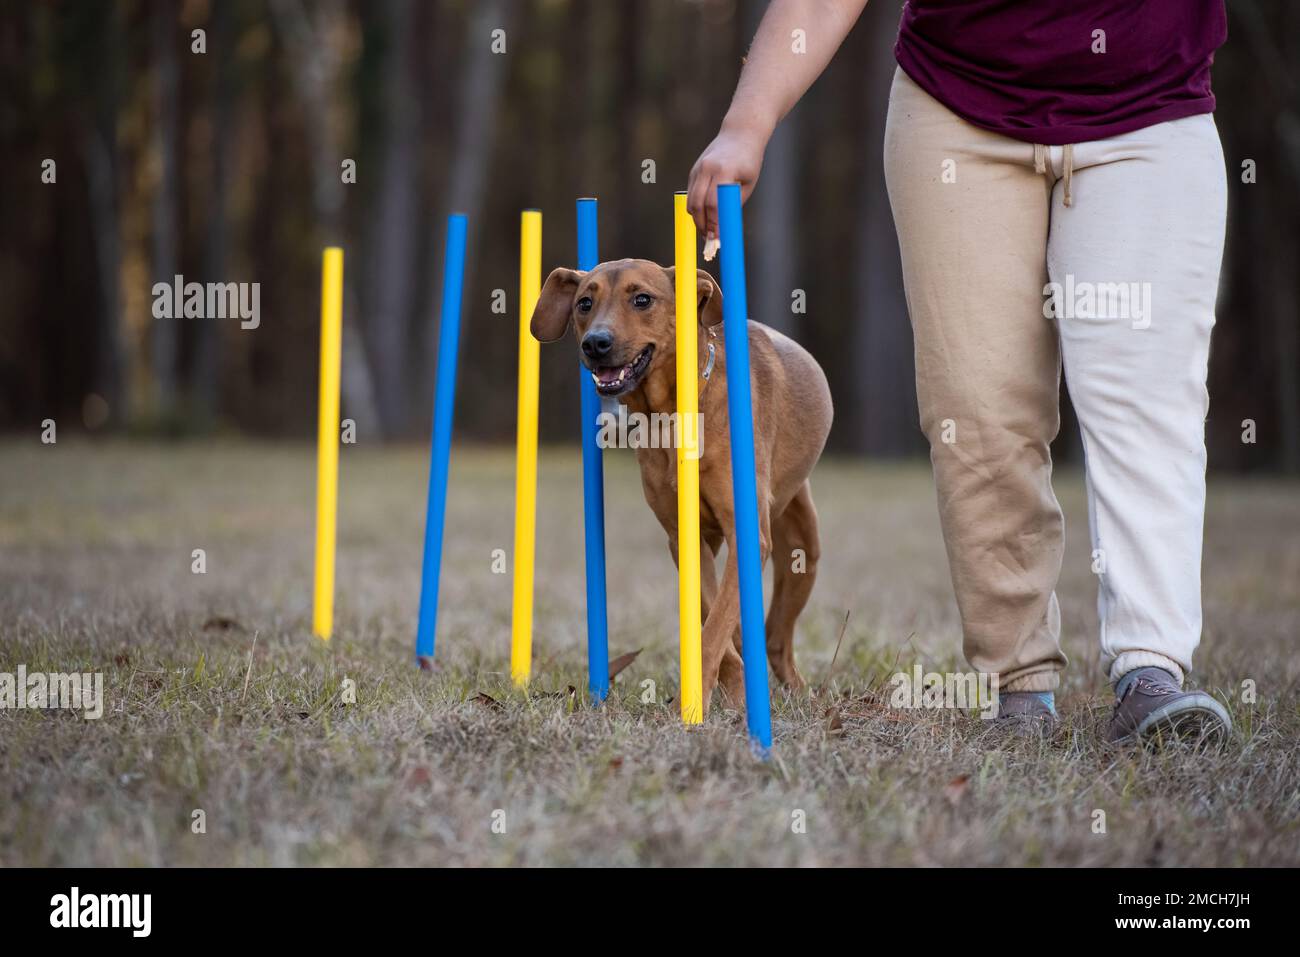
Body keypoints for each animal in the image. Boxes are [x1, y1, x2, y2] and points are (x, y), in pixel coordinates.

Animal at [530, 257, 826, 712]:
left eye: (642, 299)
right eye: (584, 303)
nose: (596, 343)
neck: (671, 415)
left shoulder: (747, 534)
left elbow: (715, 626)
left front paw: (695, 702)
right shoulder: (683, 538)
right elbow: (713, 617)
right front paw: (728, 691)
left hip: (802, 549)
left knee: (777, 636)